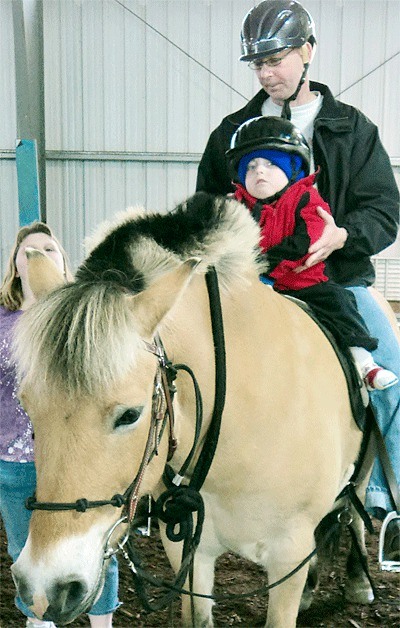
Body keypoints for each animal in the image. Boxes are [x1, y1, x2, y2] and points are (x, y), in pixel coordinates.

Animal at [10, 194, 374, 624]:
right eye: (28, 411)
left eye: (130, 415)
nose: (43, 589)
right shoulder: (188, 549)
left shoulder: (289, 556)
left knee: (355, 514)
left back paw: (359, 581)